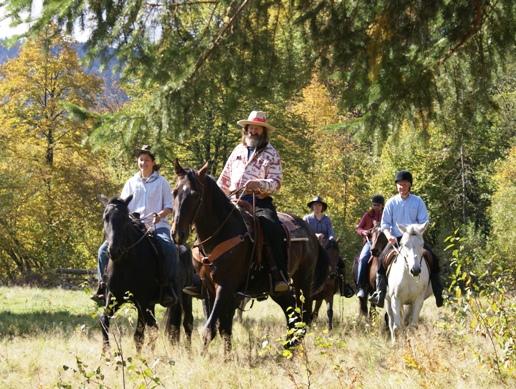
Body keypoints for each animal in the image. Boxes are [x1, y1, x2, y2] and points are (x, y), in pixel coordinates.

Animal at [99, 196, 194, 350]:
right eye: (105, 218)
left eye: (125, 219)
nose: (114, 250)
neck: (125, 263)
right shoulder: (114, 299)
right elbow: (104, 321)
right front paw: (105, 352)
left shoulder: (142, 303)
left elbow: (139, 336)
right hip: (154, 304)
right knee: (161, 328)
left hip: (185, 295)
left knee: (187, 323)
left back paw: (188, 351)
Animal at [171, 159, 328, 350]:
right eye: (174, 192)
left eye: (195, 195)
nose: (177, 234)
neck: (221, 233)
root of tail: (311, 234)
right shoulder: (209, 288)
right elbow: (223, 328)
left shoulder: (225, 286)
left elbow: (210, 329)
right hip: (277, 291)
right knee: (293, 318)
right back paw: (287, 348)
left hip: (302, 282)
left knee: (303, 319)